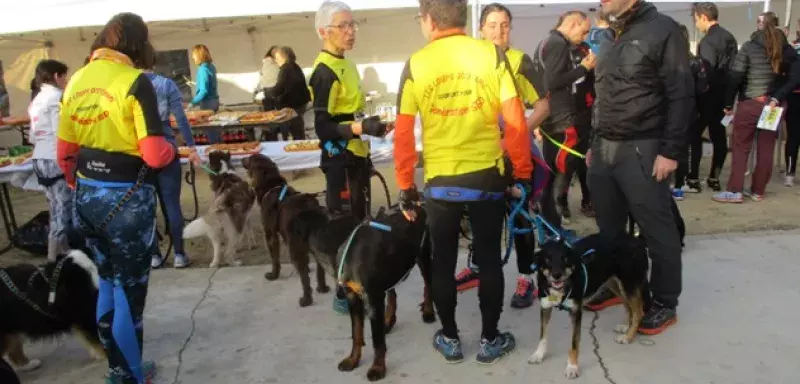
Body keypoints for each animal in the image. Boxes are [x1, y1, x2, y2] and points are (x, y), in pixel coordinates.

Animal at [290, 204, 434, 380]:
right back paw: (388, 321)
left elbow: (377, 341)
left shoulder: (372, 299)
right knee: (392, 293)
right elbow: (356, 333)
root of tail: (417, 204)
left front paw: (378, 368)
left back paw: (428, 311)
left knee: (428, 285)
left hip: (423, 255)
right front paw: (353, 360)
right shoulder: (353, 297)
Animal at [524, 232, 648, 380]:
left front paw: (572, 367)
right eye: (547, 259)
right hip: (615, 284)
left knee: (638, 312)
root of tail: (636, 239)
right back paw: (625, 326)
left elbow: (574, 343)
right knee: (628, 306)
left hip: (628, 284)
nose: (557, 275)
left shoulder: (576, 312)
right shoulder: (545, 307)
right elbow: (542, 335)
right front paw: (538, 354)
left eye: (565, 259)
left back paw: (628, 336)